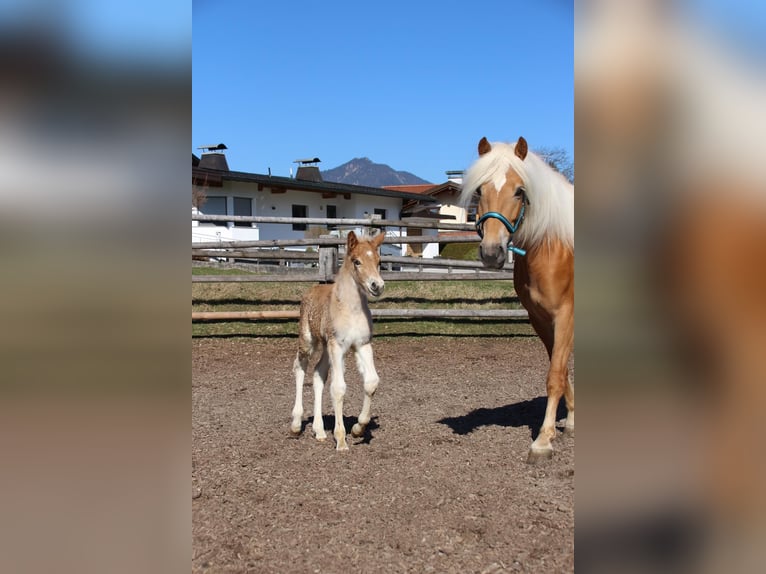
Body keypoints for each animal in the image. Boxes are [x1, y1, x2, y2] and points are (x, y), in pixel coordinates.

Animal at [290, 230, 386, 451]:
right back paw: (296, 424)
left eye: (379, 261)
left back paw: (319, 431)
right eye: (357, 261)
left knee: (318, 374)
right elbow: (339, 388)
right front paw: (341, 439)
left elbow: (371, 382)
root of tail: (311, 290)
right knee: (300, 367)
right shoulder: (338, 346)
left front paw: (358, 428)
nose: (377, 285)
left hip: (326, 347)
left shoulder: (362, 345)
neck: (351, 309)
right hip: (308, 341)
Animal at [460, 136, 574, 463]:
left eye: (519, 191)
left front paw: (543, 440)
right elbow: (560, 370)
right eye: (480, 190)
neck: (551, 245)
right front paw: (571, 422)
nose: (491, 253)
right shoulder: (541, 319)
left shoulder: (566, 315)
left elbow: (555, 374)